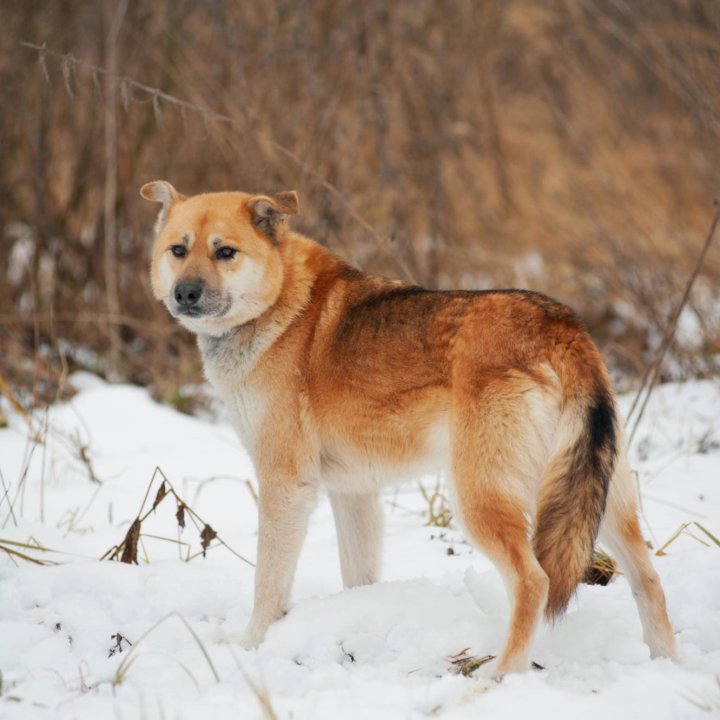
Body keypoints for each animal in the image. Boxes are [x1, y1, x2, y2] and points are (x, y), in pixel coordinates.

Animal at [141, 183, 676, 676]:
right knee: (648, 578)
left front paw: (251, 647)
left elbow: (268, 584)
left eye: (225, 252)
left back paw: (497, 680)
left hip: (481, 499)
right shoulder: (353, 493)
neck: (279, 307)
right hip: (598, 500)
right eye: (178, 250)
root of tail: (561, 328)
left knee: (535, 582)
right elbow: (358, 577)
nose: (185, 293)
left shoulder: (285, 485)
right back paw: (668, 665)